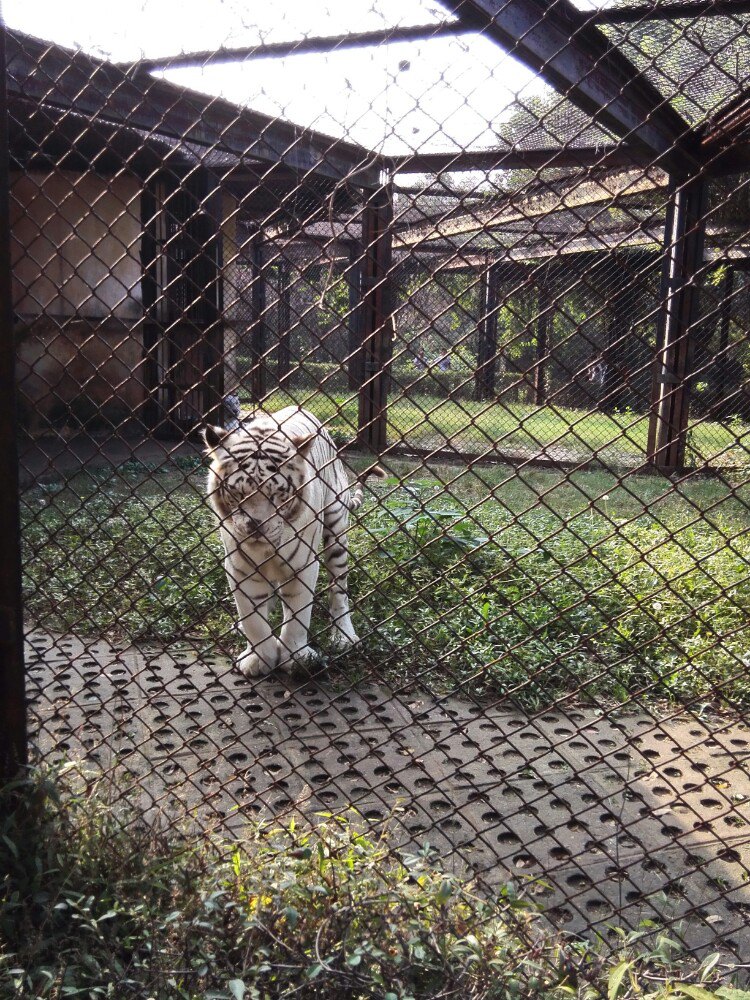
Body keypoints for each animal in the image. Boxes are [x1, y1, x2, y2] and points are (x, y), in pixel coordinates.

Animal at [203, 406, 384, 680]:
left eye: (277, 494)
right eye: (238, 493)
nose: (255, 525)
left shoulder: (304, 565)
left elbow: (298, 614)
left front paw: (295, 657)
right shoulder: (240, 568)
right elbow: (253, 619)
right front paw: (259, 658)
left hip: (336, 528)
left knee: (339, 590)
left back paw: (343, 636)